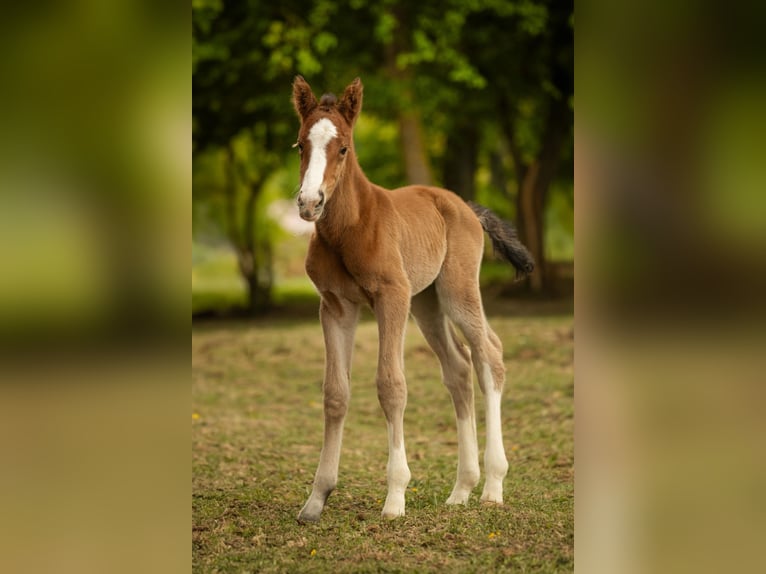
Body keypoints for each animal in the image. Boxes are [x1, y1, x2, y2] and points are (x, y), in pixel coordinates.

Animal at [294, 77, 536, 528]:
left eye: (343, 148)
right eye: (300, 144)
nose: (309, 202)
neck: (350, 227)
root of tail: (464, 206)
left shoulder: (391, 297)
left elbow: (391, 386)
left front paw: (395, 497)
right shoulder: (335, 306)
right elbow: (335, 393)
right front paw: (316, 499)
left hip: (456, 291)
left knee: (489, 354)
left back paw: (492, 486)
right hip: (427, 302)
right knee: (458, 368)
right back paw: (461, 490)